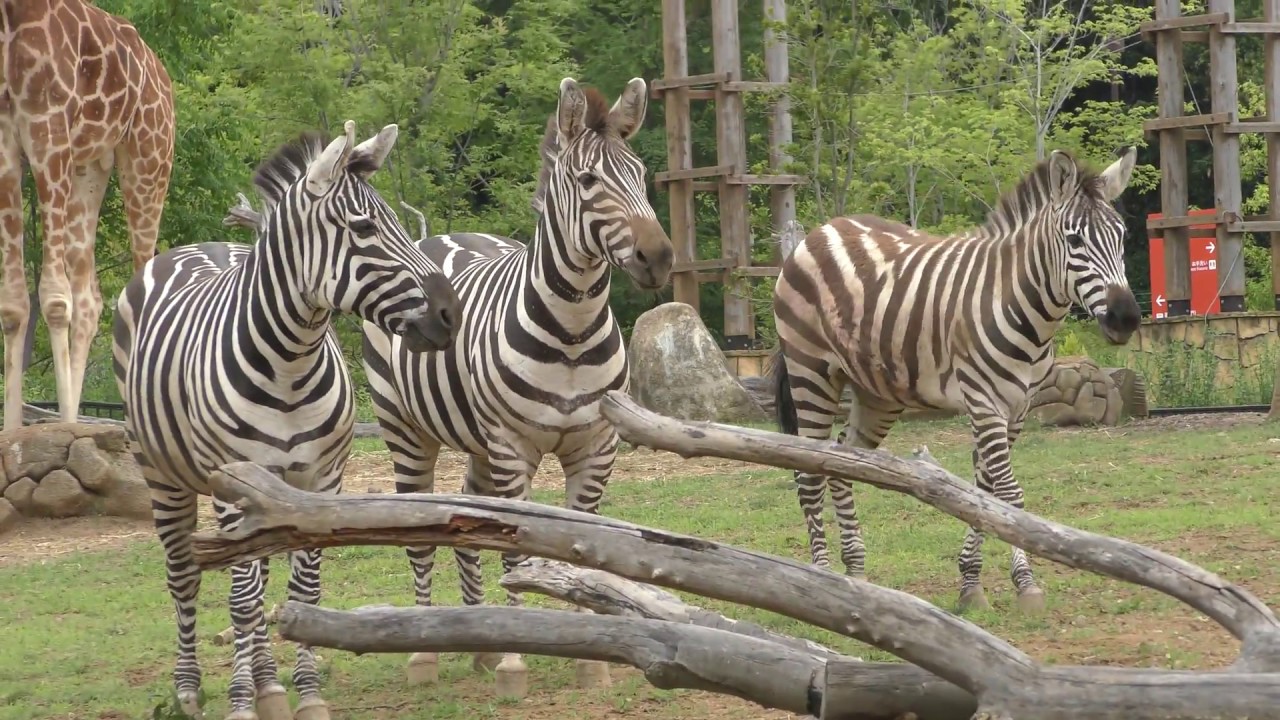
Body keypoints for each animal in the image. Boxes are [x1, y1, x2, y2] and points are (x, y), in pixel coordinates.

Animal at [111, 120, 460, 720]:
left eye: (397, 222)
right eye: (364, 228)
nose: (451, 313)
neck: (290, 365)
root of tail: (197, 246)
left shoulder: (321, 481)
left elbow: (304, 590)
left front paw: (306, 693)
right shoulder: (231, 488)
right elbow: (243, 601)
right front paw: (239, 702)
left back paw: (270, 684)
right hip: (159, 473)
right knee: (183, 576)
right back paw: (190, 686)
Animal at [360, 76, 673, 697]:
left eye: (642, 174)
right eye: (588, 181)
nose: (659, 256)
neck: (571, 336)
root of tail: (442, 237)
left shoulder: (597, 448)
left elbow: (584, 556)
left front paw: (592, 662)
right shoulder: (513, 447)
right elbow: (517, 552)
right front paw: (514, 664)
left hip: (477, 443)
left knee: (471, 518)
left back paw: (481, 640)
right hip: (405, 430)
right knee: (421, 535)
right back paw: (424, 652)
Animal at [770, 147, 1139, 613]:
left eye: (1122, 237)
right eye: (1075, 241)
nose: (1126, 318)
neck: (1022, 305)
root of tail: (823, 229)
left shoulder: (1017, 408)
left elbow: (986, 494)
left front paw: (972, 583)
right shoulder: (984, 401)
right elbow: (1009, 495)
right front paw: (1027, 585)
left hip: (877, 392)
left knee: (841, 463)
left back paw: (855, 571)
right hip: (810, 372)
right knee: (810, 474)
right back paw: (819, 575)